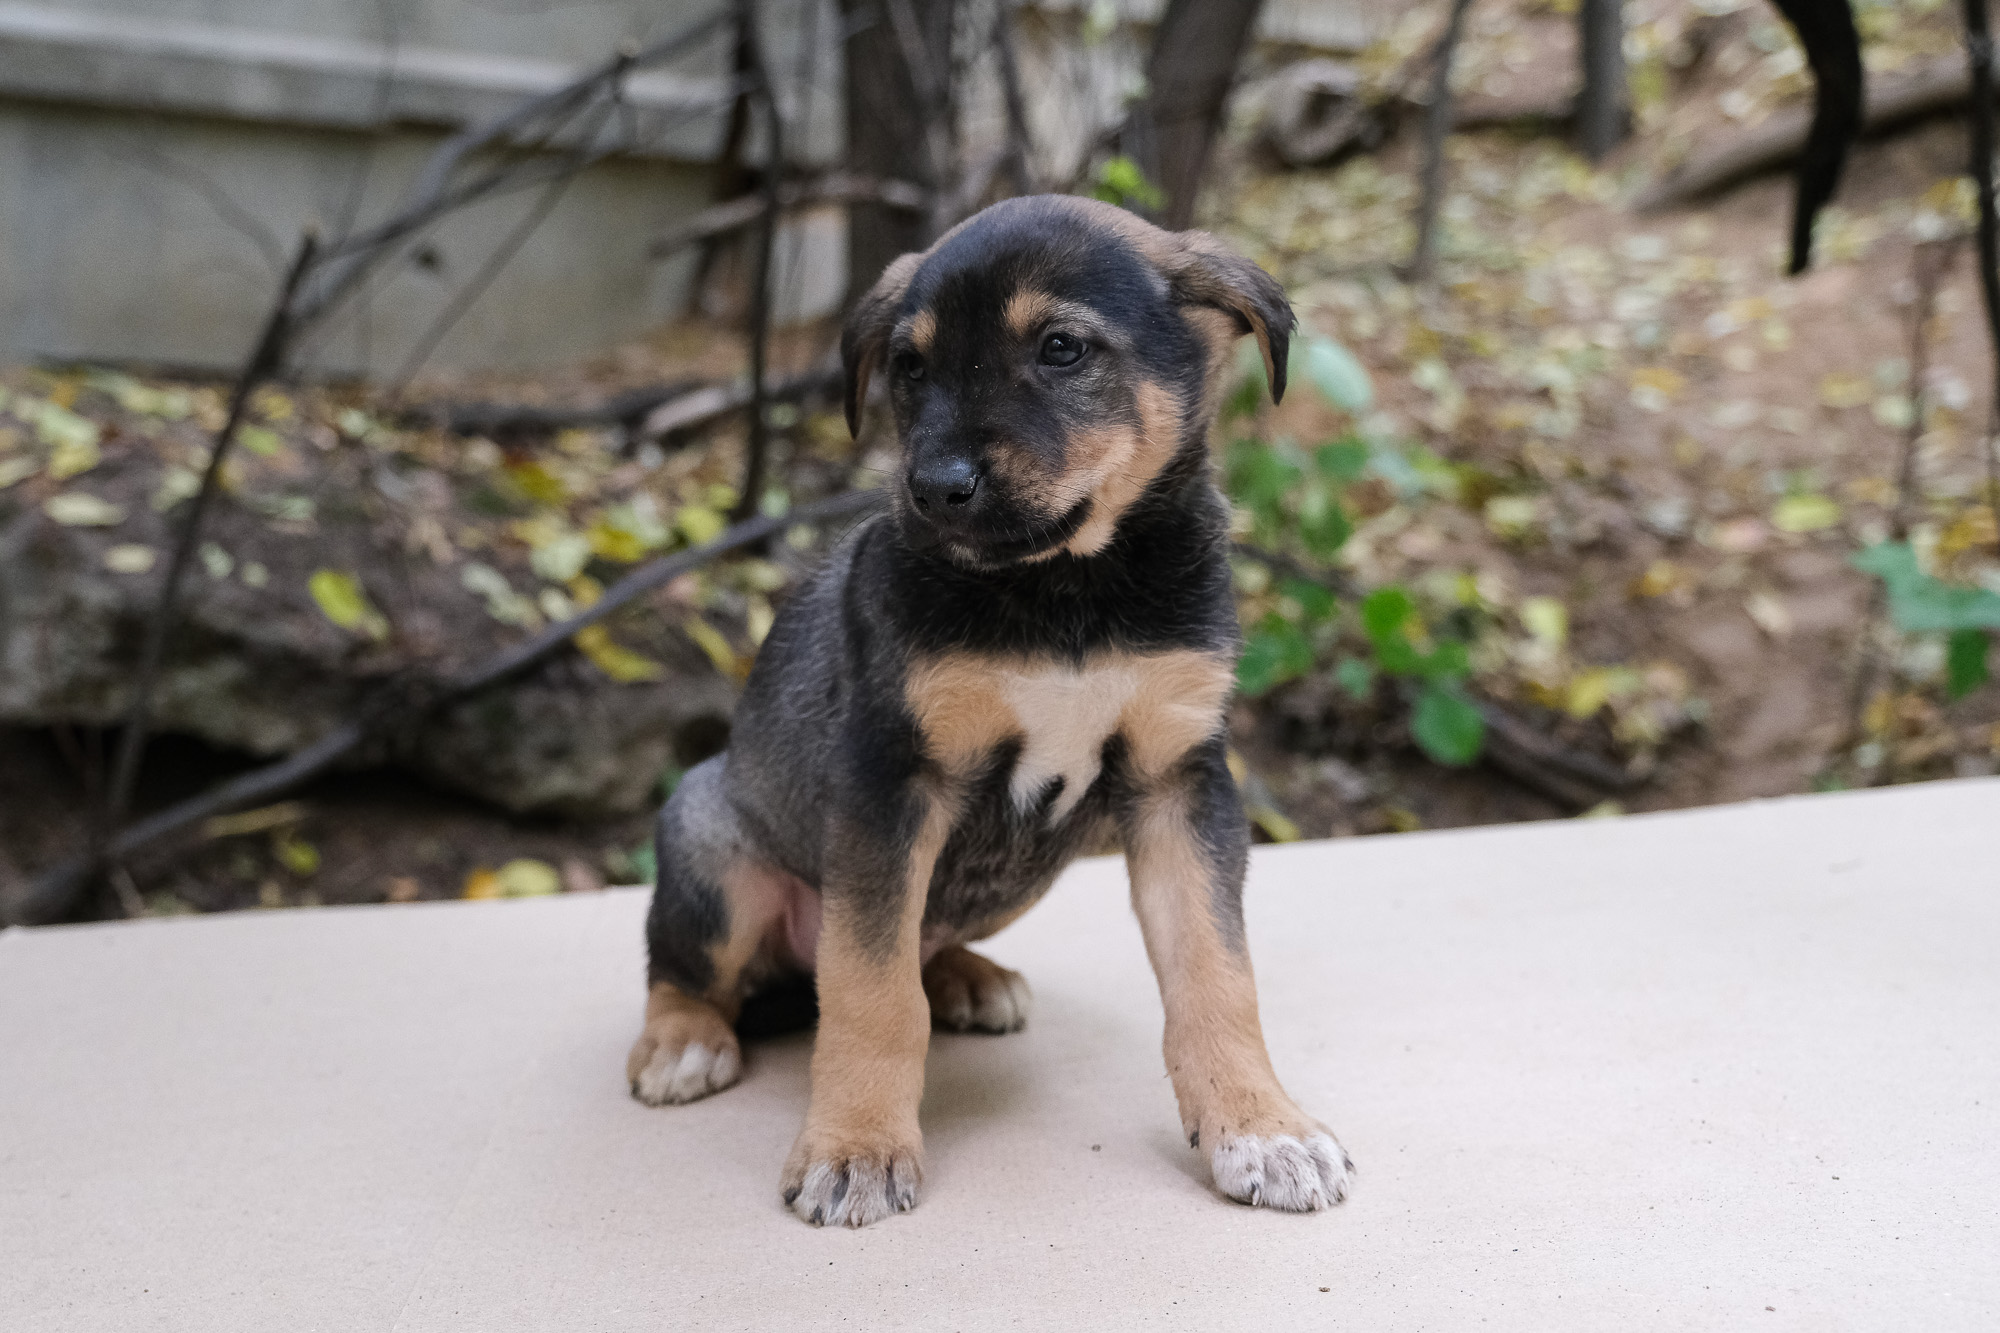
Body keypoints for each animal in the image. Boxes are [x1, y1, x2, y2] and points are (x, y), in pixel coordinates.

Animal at [616, 192, 1352, 1216]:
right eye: (909, 366)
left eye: (1062, 348)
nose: (933, 490)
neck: (1067, 594)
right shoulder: (891, 783)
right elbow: (871, 993)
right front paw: (856, 1146)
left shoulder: (1181, 782)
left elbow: (1218, 973)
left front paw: (1262, 1125)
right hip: (713, 850)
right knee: (688, 968)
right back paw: (684, 1040)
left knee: (924, 943)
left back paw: (968, 976)